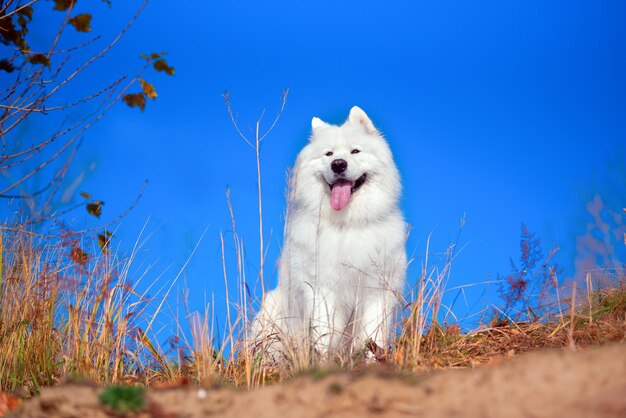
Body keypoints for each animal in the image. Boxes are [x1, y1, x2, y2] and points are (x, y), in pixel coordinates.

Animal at [251, 106, 408, 360]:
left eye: (355, 151)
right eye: (328, 154)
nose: (338, 164)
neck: (348, 224)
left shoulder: (376, 292)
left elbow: (372, 337)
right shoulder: (323, 290)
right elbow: (324, 335)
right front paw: (322, 362)